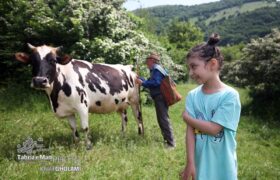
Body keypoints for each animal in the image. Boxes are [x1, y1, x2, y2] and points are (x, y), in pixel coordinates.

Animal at [14, 44, 144, 150]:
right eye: (32, 61)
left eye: (53, 61)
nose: (39, 81)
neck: (55, 98)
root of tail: (128, 67)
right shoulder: (68, 111)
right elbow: (73, 128)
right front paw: (76, 145)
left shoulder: (82, 106)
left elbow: (85, 127)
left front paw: (88, 146)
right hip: (121, 103)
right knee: (124, 119)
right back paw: (123, 136)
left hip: (135, 101)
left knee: (138, 118)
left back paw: (140, 137)